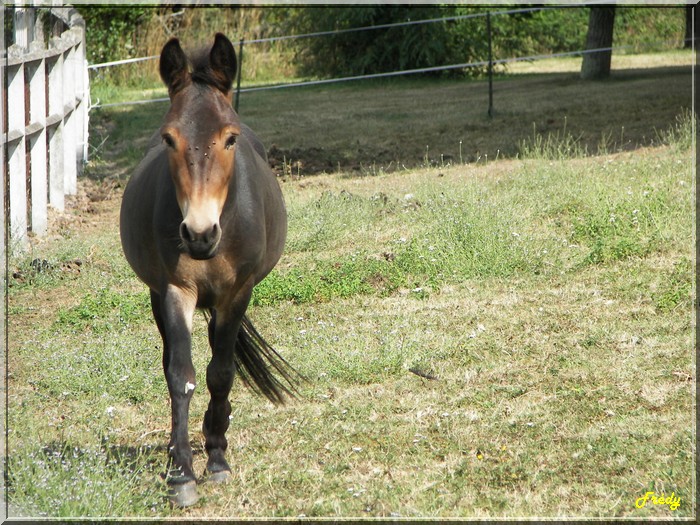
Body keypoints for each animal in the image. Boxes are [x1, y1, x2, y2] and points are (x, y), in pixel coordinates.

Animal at [120, 33, 296, 508]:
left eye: (229, 139)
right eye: (169, 139)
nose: (199, 234)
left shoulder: (238, 294)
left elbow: (221, 372)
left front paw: (217, 458)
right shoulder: (174, 291)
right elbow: (181, 376)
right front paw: (181, 474)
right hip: (158, 297)